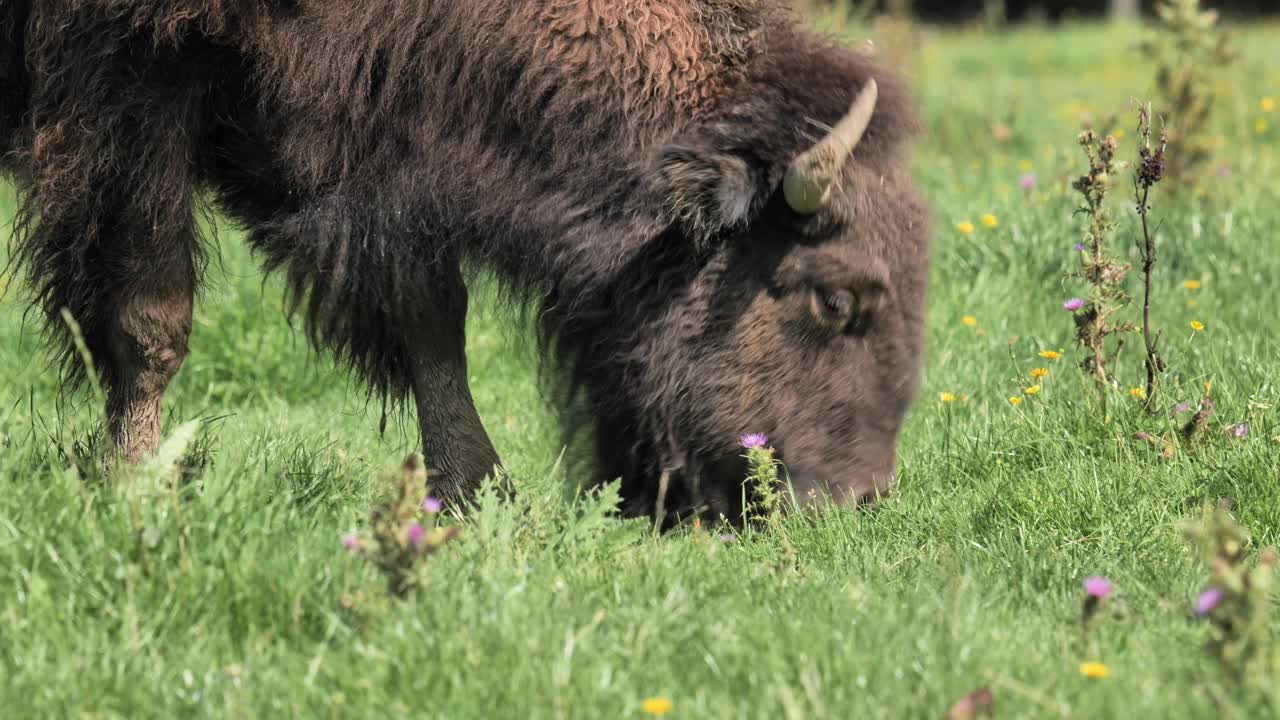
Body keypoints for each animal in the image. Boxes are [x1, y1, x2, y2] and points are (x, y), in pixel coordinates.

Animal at [0, 0, 931, 515]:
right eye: (834, 299)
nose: (859, 499)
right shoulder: (137, 83)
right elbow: (151, 313)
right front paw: (133, 484)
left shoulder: (374, 155)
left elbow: (431, 319)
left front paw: (480, 493)